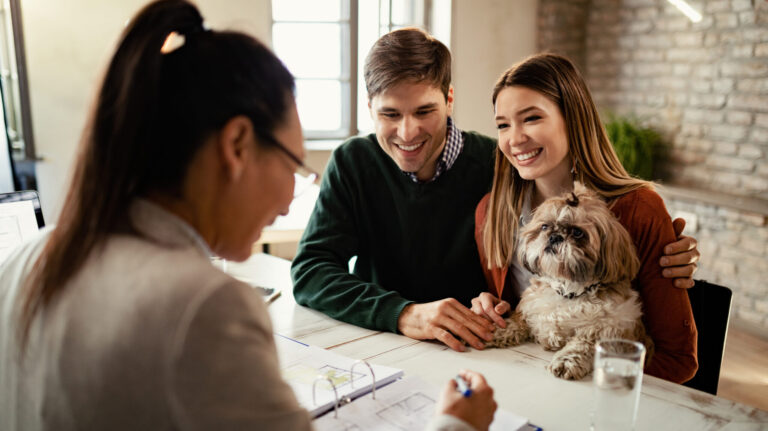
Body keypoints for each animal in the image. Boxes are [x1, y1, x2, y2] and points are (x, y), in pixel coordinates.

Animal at [488, 184, 652, 380]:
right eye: (545, 226)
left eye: (577, 232)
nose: (554, 236)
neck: (569, 291)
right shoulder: (529, 309)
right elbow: (517, 321)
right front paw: (499, 331)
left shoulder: (603, 331)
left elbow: (582, 345)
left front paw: (566, 362)